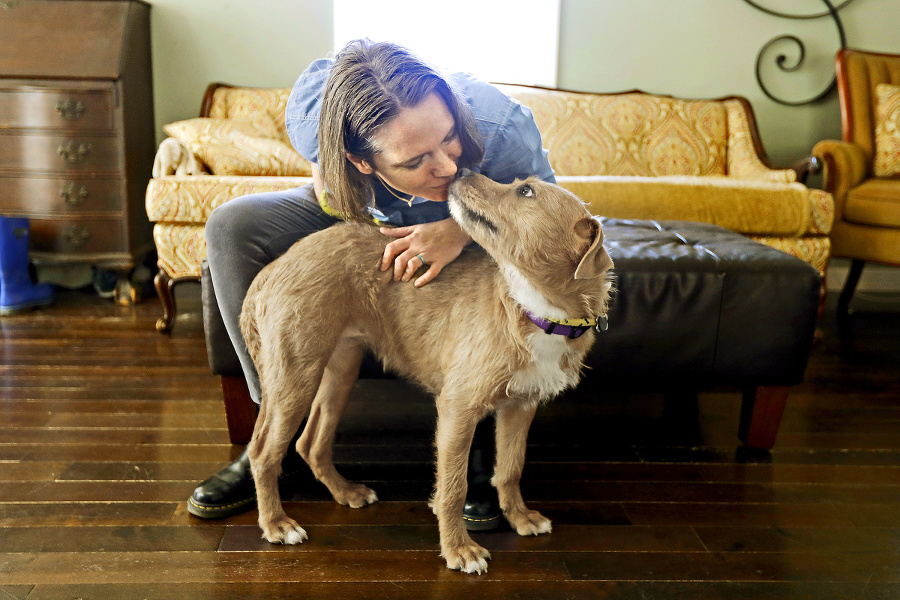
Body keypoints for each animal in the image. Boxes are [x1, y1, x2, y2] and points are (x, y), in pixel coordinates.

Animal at [243, 171, 616, 576]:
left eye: (525, 191)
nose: (463, 171)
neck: (535, 309)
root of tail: (274, 267)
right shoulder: (457, 408)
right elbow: (454, 486)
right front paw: (459, 549)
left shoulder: (520, 405)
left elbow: (510, 468)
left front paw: (519, 517)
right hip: (296, 375)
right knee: (262, 452)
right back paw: (276, 524)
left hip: (339, 371)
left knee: (309, 443)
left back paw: (346, 492)